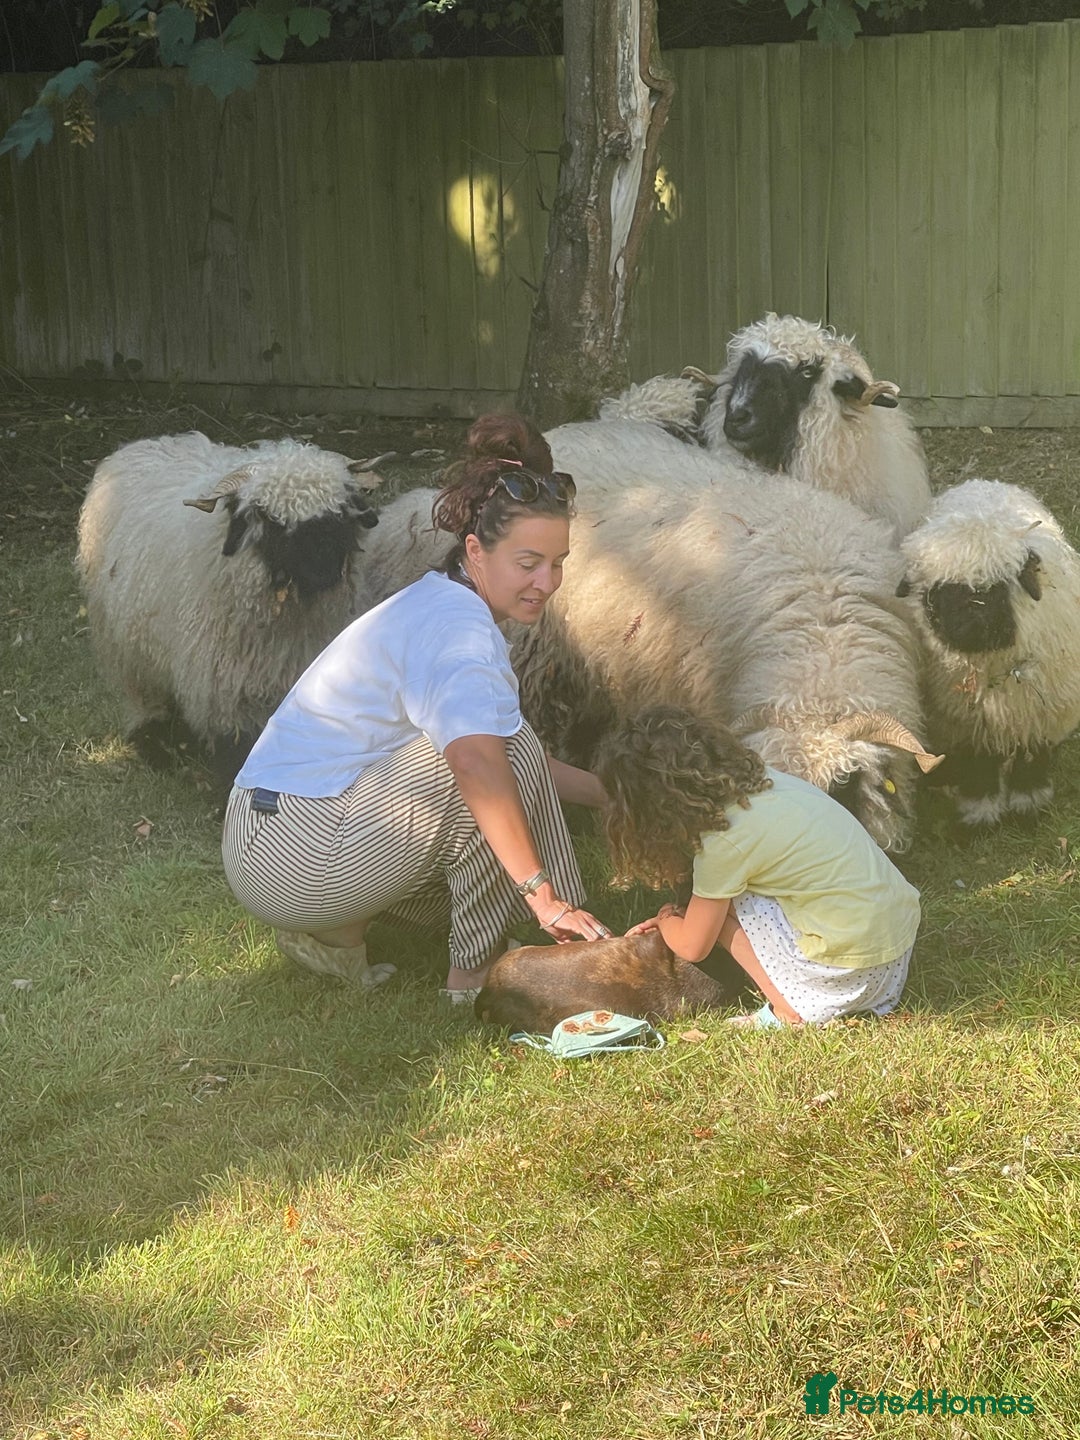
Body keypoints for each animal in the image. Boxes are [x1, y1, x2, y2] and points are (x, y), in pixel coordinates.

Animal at [77, 431, 380, 775]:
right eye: (269, 519)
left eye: (340, 513)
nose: (323, 574)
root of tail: (148, 442)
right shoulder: (226, 688)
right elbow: (235, 748)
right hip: (126, 646)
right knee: (143, 694)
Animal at [897, 478, 1080, 827]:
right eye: (935, 592)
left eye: (993, 588)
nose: (963, 627)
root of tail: (981, 483)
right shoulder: (966, 723)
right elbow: (979, 763)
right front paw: (979, 813)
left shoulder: (1042, 712)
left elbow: (1032, 756)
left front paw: (1028, 804)